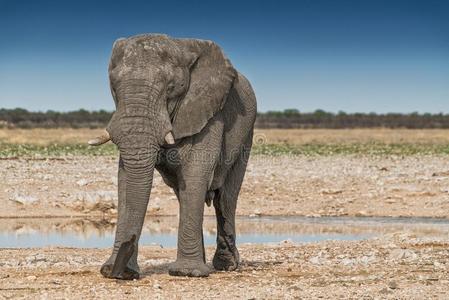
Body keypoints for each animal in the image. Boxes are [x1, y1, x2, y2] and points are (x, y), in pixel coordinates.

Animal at [88, 33, 256, 278]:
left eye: (171, 88)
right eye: (114, 87)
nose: (121, 273)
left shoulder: (209, 110)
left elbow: (196, 173)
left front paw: (188, 273)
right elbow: (125, 179)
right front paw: (112, 270)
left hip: (246, 134)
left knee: (225, 198)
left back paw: (225, 266)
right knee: (183, 193)